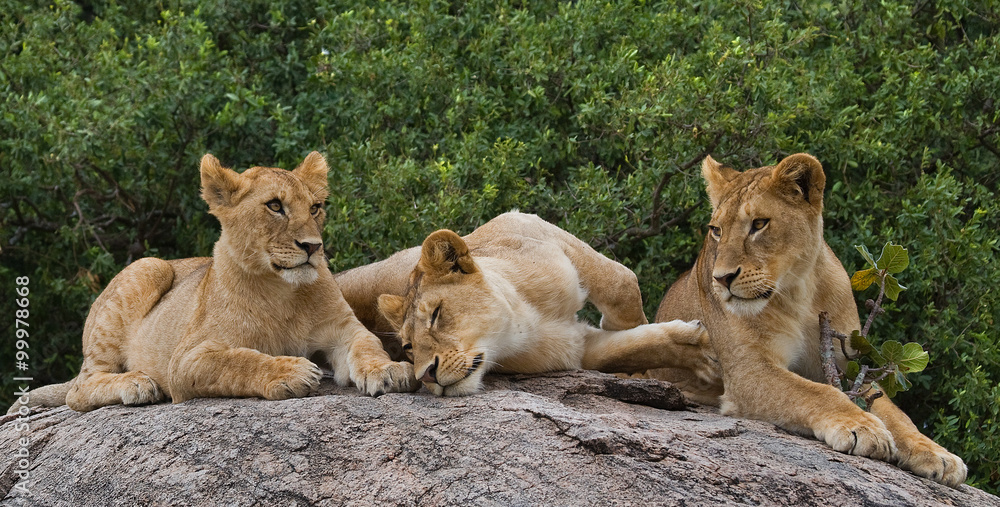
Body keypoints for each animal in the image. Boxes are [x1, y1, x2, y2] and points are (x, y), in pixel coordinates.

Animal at [8, 152, 415, 414]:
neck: (283, 291)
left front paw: (388, 371)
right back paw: (136, 383)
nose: (313, 247)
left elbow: (368, 344)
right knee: (79, 389)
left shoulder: (344, 329)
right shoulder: (187, 360)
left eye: (315, 208)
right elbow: (239, 360)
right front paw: (290, 371)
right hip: (149, 267)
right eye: (275, 206)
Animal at [334, 212, 719, 397]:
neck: (520, 322)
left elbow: (623, 287)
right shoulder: (578, 350)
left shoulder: (527, 224)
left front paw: (697, 355)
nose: (426, 374)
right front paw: (699, 355)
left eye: (437, 315)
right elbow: (633, 347)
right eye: (409, 348)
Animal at [648, 153, 967, 487]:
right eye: (717, 230)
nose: (721, 279)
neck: (798, 291)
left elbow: (894, 412)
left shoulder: (847, 363)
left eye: (759, 224)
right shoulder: (748, 370)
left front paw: (936, 453)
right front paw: (861, 426)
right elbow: (816, 392)